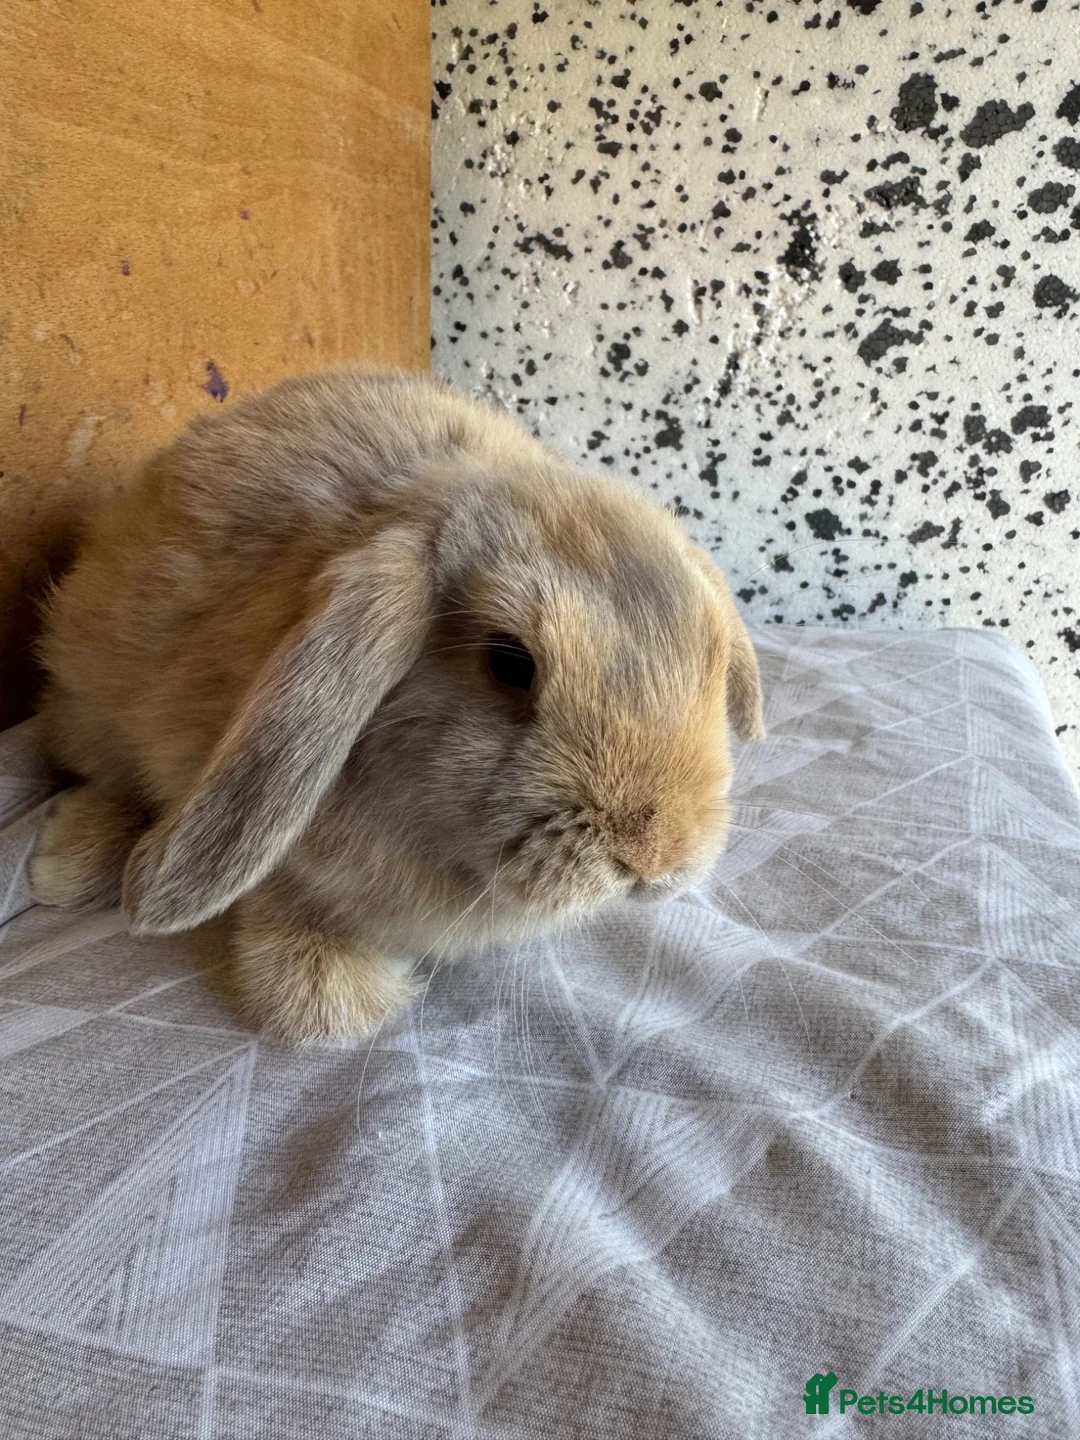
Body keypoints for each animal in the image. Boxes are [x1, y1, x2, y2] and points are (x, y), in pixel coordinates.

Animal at [28, 367, 765, 1043]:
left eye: (709, 659)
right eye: (510, 663)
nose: (655, 857)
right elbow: (280, 895)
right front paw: (329, 1002)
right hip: (90, 700)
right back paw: (62, 866)